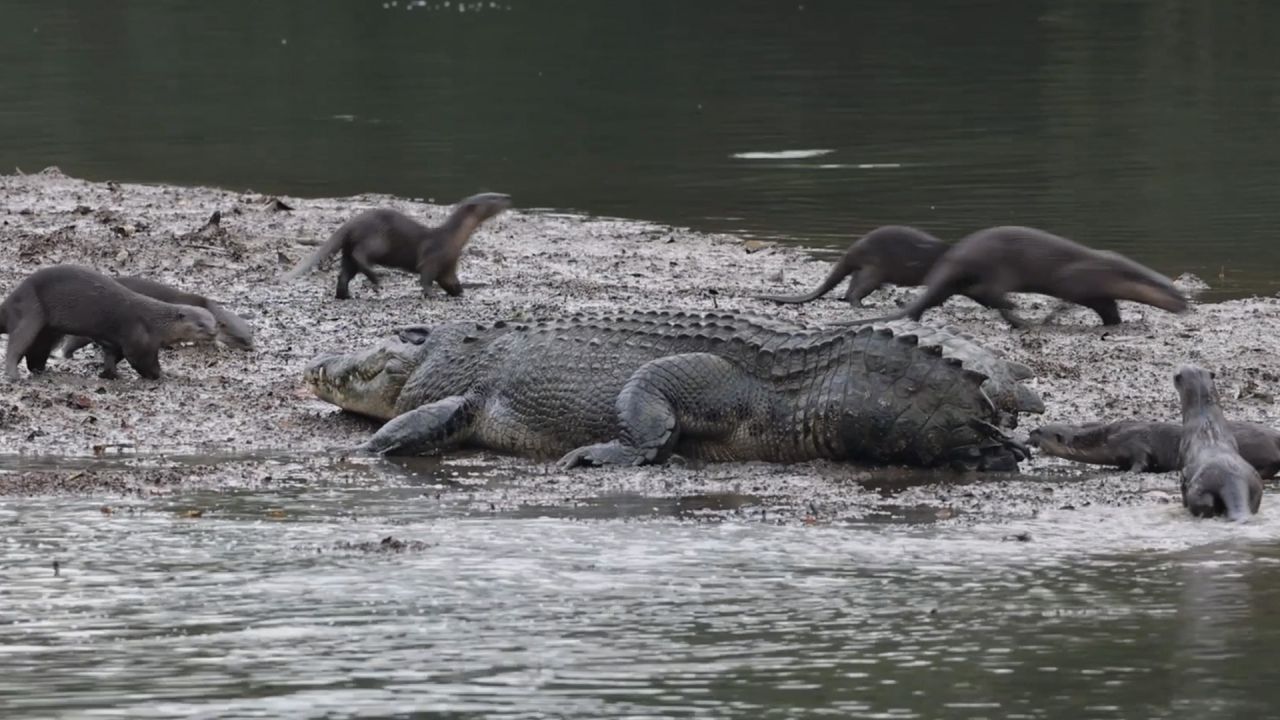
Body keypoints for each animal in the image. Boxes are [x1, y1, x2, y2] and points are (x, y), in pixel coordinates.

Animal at [0, 265, 217, 381]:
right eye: (200, 324)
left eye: (214, 323)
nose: (213, 333)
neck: (155, 322)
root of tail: (9, 301)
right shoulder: (139, 340)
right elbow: (142, 361)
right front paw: (162, 374)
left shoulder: (115, 341)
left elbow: (112, 357)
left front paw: (109, 374)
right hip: (30, 311)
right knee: (16, 345)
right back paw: (14, 375)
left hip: (47, 332)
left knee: (36, 353)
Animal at [282, 192, 513, 299]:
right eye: (493, 198)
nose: (507, 197)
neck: (453, 240)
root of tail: (351, 224)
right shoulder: (433, 257)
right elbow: (426, 277)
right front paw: (431, 294)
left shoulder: (448, 265)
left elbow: (450, 281)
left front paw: (460, 292)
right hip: (377, 241)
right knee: (360, 255)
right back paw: (376, 279)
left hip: (349, 251)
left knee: (345, 272)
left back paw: (345, 295)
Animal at [755, 225, 950, 306]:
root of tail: (852, 251)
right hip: (874, 271)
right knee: (855, 294)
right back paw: (866, 305)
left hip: (863, 271)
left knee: (849, 290)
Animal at [830, 226, 1188, 328]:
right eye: (1176, 296)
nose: (1186, 306)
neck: (1109, 271)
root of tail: (956, 256)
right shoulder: (1077, 279)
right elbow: (1067, 298)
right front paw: (1053, 317)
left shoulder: (1101, 294)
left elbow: (1109, 308)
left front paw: (1117, 323)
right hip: (997, 270)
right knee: (993, 294)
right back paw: (1021, 318)